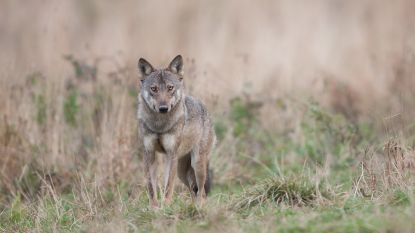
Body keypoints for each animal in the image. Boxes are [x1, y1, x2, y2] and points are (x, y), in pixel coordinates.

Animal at [138, 55, 216, 208]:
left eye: (170, 88)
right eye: (154, 89)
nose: (163, 108)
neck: (159, 125)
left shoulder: (171, 154)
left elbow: (168, 186)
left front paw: (166, 206)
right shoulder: (149, 154)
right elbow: (151, 187)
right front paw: (154, 208)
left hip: (197, 165)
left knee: (202, 191)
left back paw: (199, 208)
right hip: (182, 172)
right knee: (194, 191)